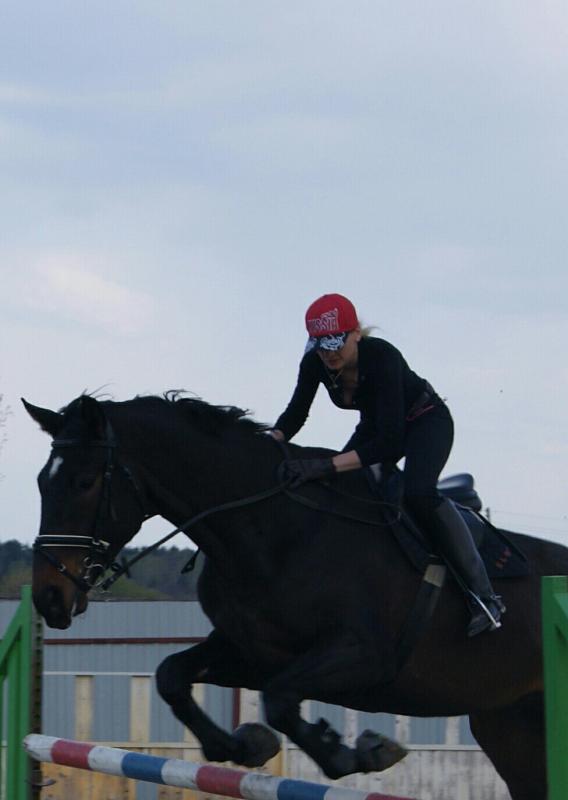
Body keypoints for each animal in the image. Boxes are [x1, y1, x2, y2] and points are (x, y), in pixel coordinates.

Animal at [23, 392, 566, 800]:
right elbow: (172, 675)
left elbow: (281, 699)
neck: (268, 529)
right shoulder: (253, 652)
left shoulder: (365, 656)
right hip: (509, 725)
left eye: (85, 482)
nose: (49, 597)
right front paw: (246, 745)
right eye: (40, 483)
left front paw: (360, 750)